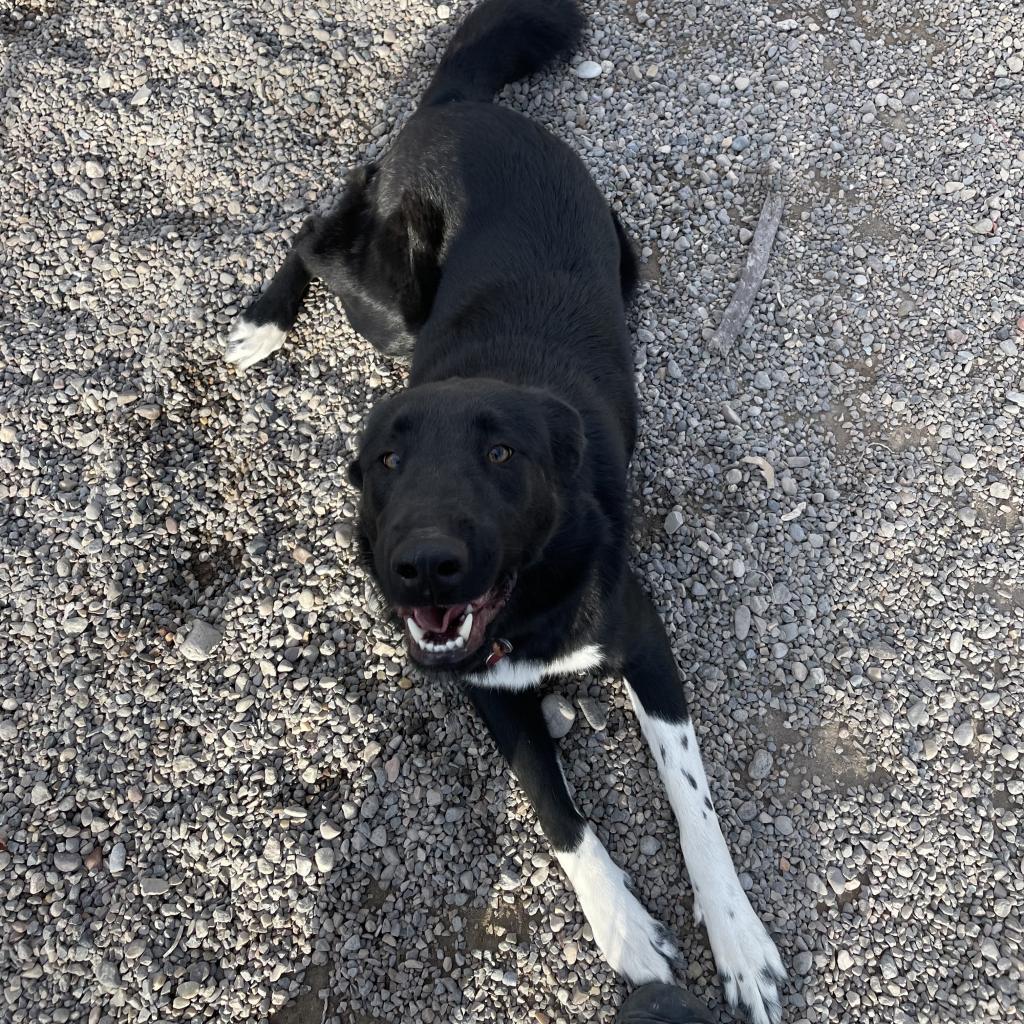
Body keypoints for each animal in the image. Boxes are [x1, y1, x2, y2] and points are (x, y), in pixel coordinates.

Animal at [226, 4, 782, 1019]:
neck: (530, 594)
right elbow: (553, 807)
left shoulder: (643, 638)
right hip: (389, 300)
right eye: (386, 464)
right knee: (318, 222)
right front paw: (626, 933)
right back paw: (263, 321)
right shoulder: (485, 688)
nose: (423, 568)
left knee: (328, 214)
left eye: (501, 457)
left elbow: (695, 804)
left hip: (605, 253)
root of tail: (459, 106)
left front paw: (739, 941)